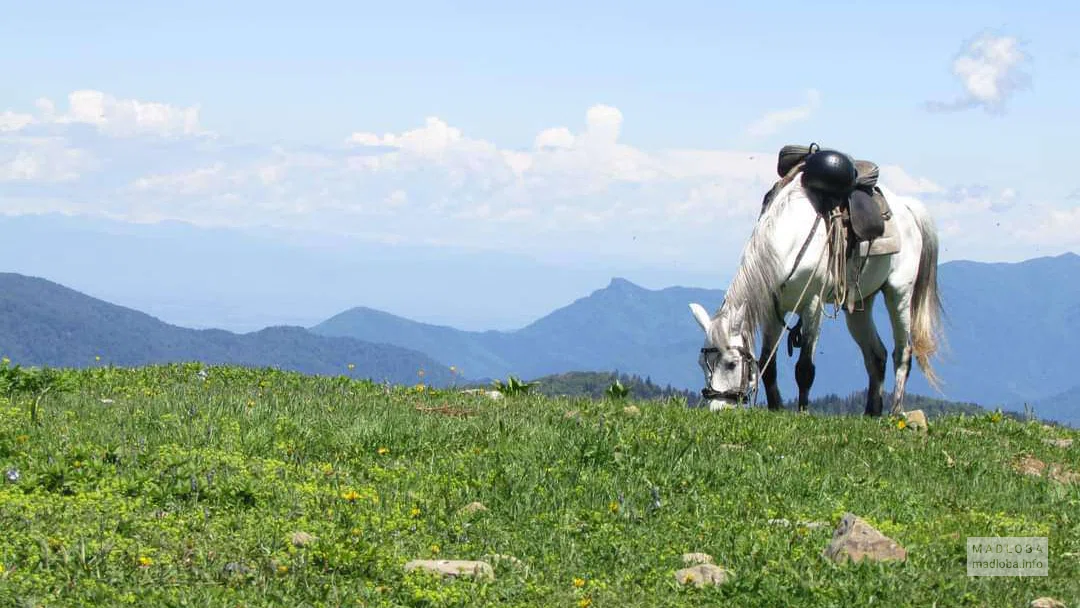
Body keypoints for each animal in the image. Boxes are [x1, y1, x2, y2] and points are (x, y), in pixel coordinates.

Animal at [686, 147, 941, 419]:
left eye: (732, 364)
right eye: (701, 363)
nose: (718, 408)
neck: (791, 237)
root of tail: (907, 207)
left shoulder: (813, 305)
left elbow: (805, 368)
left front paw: (802, 411)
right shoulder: (773, 310)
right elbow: (768, 364)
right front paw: (776, 408)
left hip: (899, 293)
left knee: (902, 353)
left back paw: (895, 411)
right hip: (859, 305)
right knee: (876, 355)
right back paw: (872, 411)